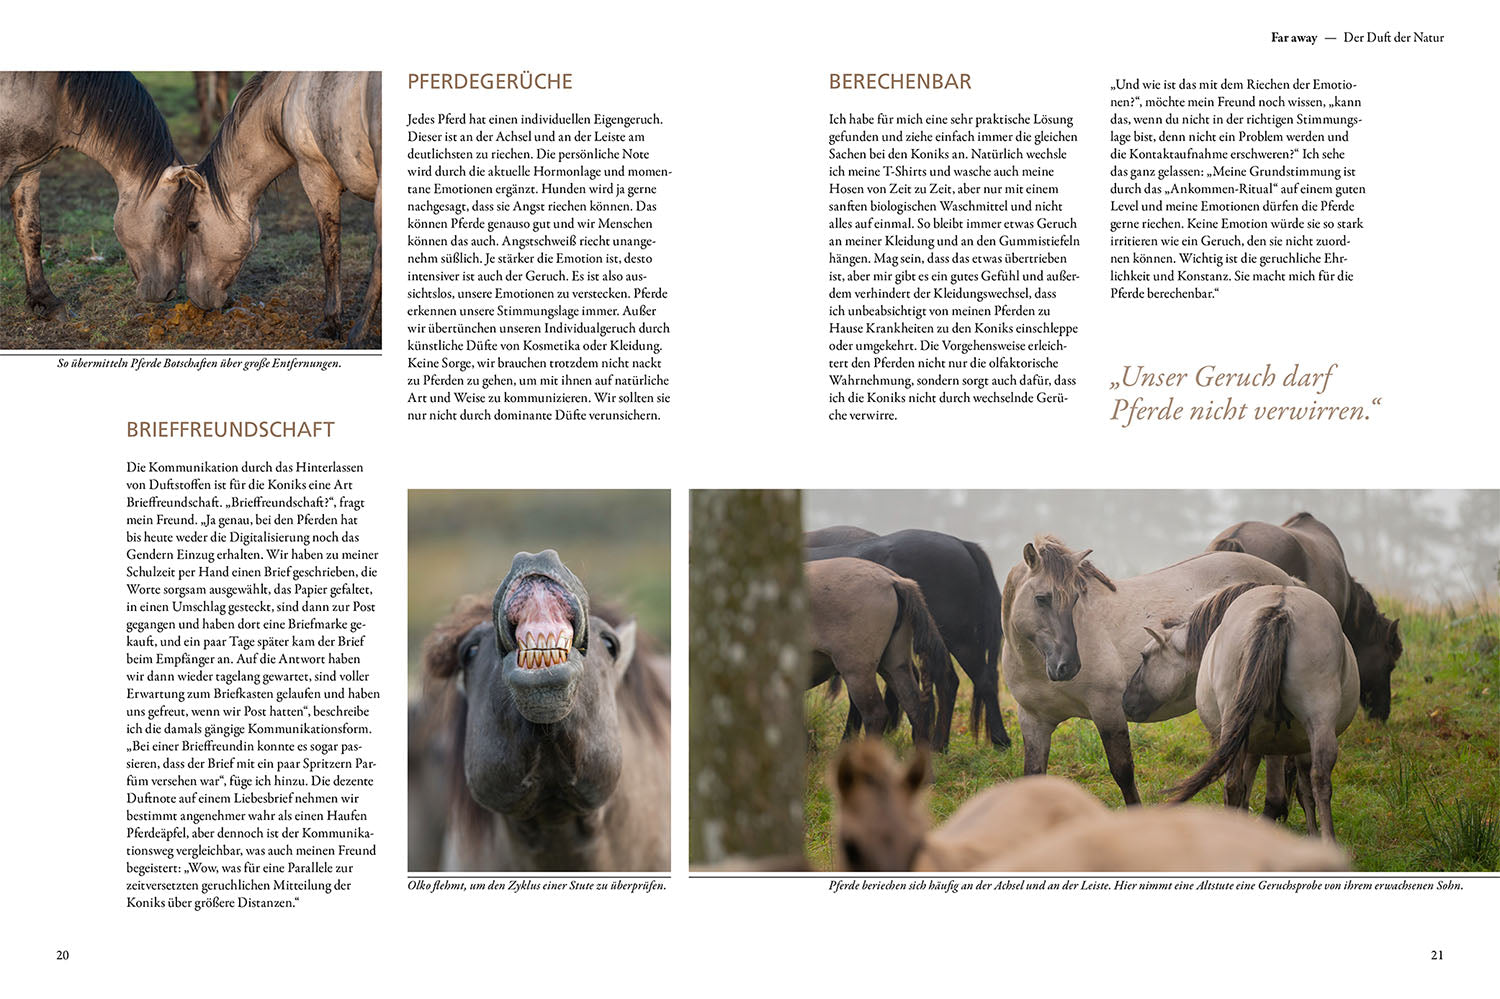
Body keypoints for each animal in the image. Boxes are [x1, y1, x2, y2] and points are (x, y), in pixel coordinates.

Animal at [1, 72, 192, 317]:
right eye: (169, 217)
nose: (169, 293)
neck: (52, 93)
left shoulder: (27, 170)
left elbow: (30, 233)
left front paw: (44, 300)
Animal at [172, 72, 381, 345]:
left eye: (192, 224)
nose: (196, 298)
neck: (284, 98)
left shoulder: (317, 176)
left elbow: (330, 250)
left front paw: (330, 323)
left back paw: (357, 335)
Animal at [1001, 536, 1296, 804]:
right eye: (1041, 599)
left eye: (1075, 598)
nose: (1068, 665)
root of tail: (1288, 582)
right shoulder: (1033, 721)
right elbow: (1033, 775)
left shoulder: (1108, 710)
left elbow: (1123, 773)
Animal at [1144, 585, 1360, 841]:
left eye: (1144, 657)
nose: (1128, 702)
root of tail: (1280, 610)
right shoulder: (1282, 746)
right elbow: (1300, 789)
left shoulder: (1260, 743)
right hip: (1315, 722)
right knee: (1317, 779)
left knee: (1236, 784)